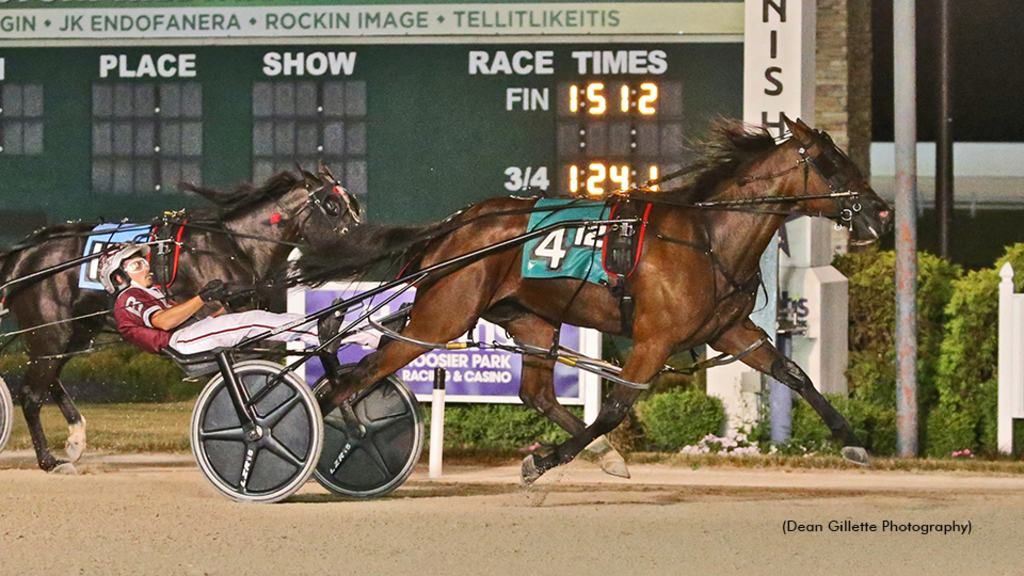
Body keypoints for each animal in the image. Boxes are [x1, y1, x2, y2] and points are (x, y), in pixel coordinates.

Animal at [0, 163, 360, 469]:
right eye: (332, 205)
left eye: (354, 204)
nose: (365, 240)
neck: (232, 245)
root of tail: (26, 253)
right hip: (51, 331)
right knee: (31, 393)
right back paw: (48, 459)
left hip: (75, 333)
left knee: (50, 379)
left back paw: (75, 437)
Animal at [299, 115, 892, 479]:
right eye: (831, 163)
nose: (880, 213)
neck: (707, 236)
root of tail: (454, 226)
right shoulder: (654, 339)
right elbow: (614, 408)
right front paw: (544, 462)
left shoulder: (731, 330)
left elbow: (794, 374)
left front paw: (852, 441)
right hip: (441, 315)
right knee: (357, 375)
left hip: (528, 320)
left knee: (536, 393)